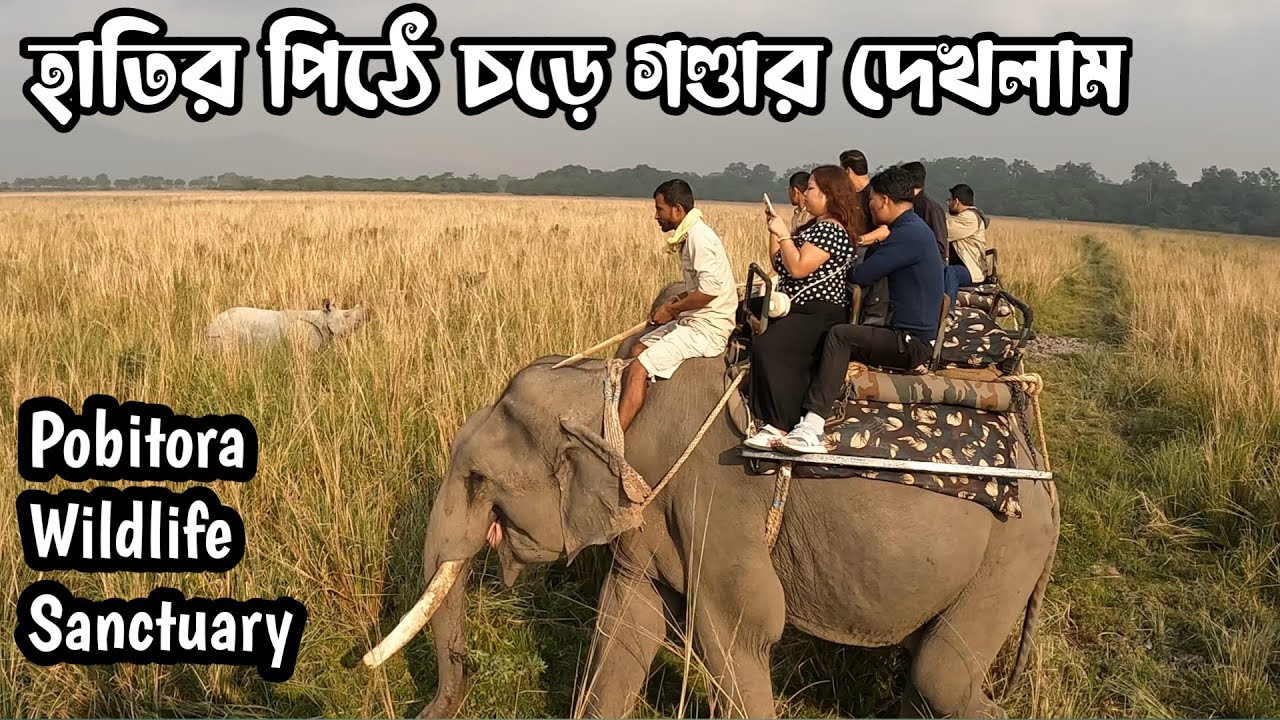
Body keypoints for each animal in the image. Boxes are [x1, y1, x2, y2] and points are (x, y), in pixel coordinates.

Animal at [362, 284, 1060, 719]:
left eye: (478, 479)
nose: (423, 705)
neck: (612, 394)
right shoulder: (649, 514)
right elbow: (624, 623)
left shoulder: (714, 505)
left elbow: (742, 630)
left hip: (1011, 551)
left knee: (942, 675)